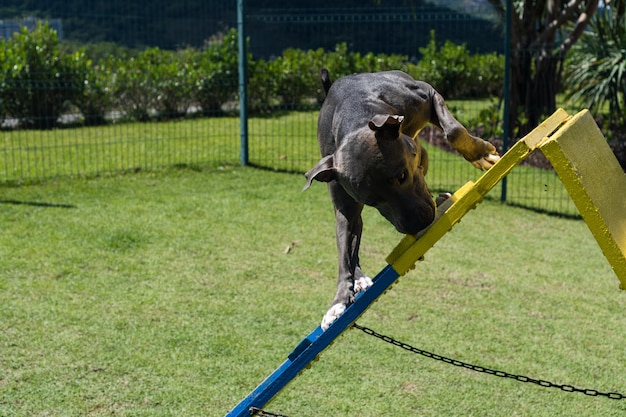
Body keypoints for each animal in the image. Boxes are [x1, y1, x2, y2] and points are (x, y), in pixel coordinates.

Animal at [302, 69, 498, 328]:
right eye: (372, 202)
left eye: (402, 175)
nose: (416, 225)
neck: (355, 117)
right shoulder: (347, 208)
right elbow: (345, 253)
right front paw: (339, 301)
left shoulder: (428, 93)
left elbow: (453, 131)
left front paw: (480, 152)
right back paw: (360, 278)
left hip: (422, 148)